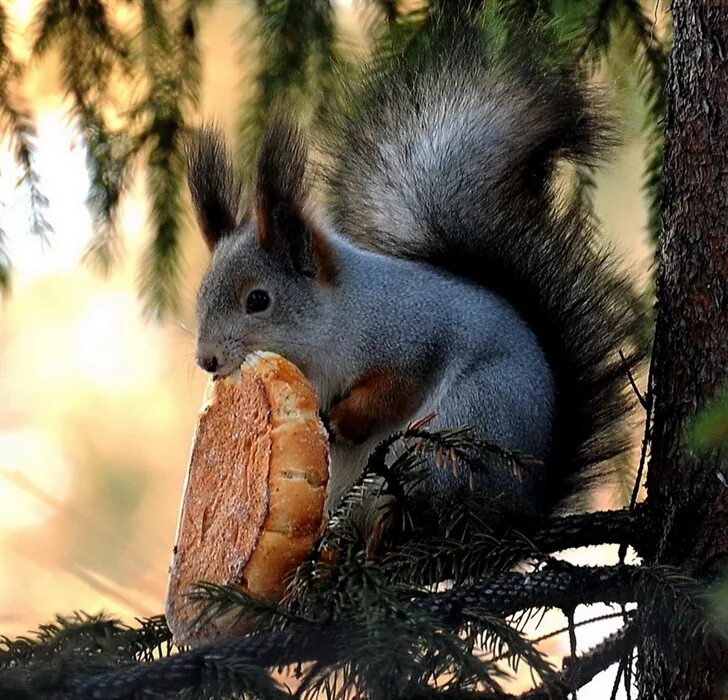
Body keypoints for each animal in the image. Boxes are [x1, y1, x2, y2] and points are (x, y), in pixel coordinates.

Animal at [186, 26, 644, 520]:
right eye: (201, 298)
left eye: (258, 300)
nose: (207, 360)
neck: (334, 323)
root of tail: (523, 507)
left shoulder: (413, 339)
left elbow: (395, 390)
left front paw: (343, 422)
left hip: (465, 425)